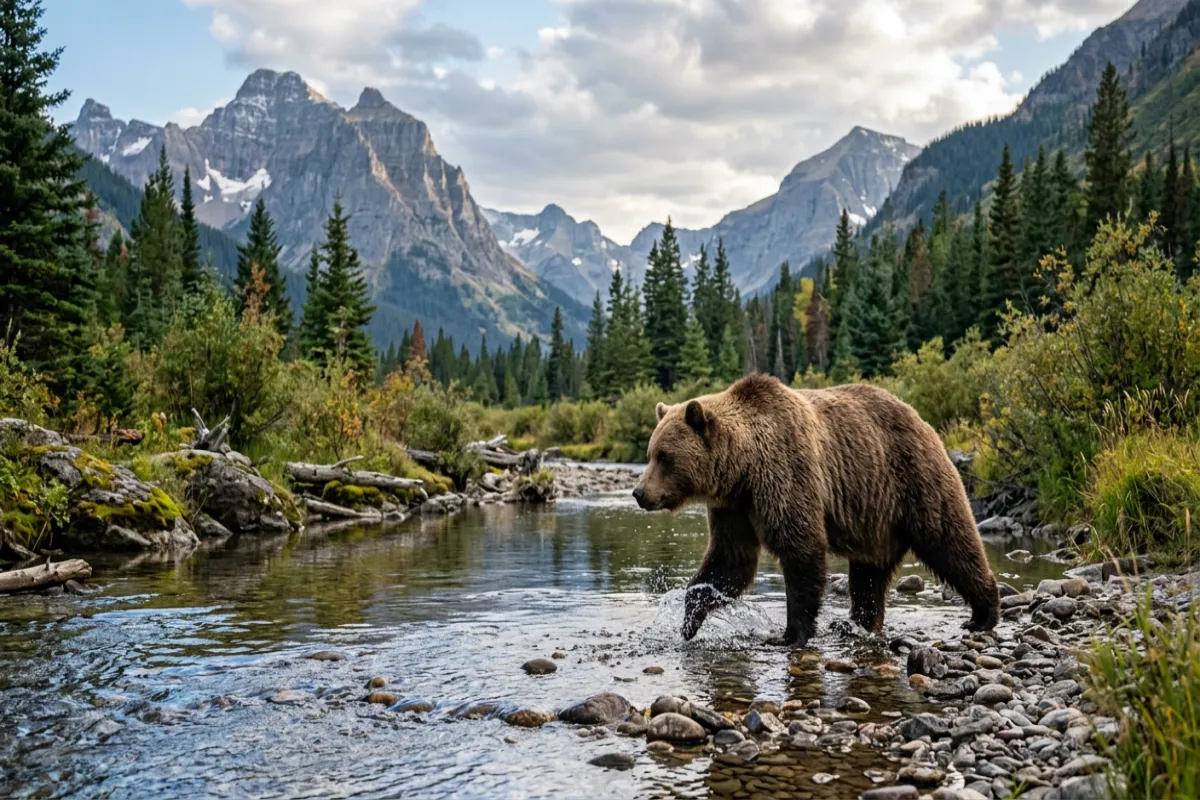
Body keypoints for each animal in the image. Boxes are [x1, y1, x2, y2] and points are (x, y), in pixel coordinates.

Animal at [632, 373, 999, 647]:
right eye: (651, 453)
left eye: (664, 457)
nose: (639, 492)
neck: (743, 470)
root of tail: (920, 417)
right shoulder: (733, 508)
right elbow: (729, 562)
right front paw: (689, 620)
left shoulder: (786, 474)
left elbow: (800, 549)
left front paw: (790, 634)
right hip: (875, 516)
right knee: (868, 573)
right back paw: (856, 624)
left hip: (914, 481)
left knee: (949, 540)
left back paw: (983, 613)